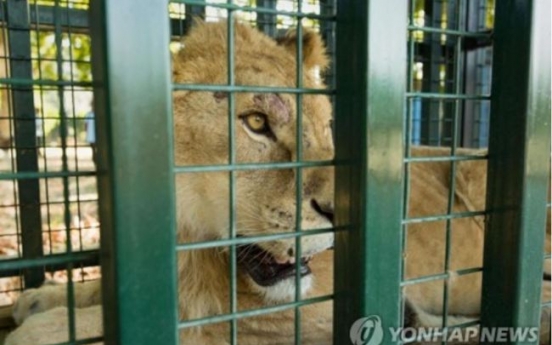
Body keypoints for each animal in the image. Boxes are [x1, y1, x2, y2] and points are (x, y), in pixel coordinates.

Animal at [5, 22, 552, 344]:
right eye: (256, 123)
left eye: (326, 128)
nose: (340, 212)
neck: (196, 253)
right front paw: (44, 300)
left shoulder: (308, 316)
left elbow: (196, 327)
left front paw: (44, 327)